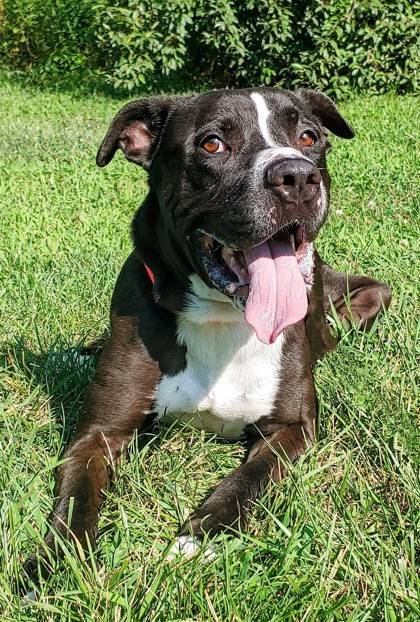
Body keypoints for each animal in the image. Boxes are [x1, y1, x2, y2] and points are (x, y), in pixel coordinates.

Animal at [23, 88, 390, 580]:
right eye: (213, 144)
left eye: (309, 137)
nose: (297, 175)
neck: (221, 318)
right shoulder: (99, 433)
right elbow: (76, 497)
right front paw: (53, 566)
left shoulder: (292, 428)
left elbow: (247, 480)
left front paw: (199, 536)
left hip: (371, 297)